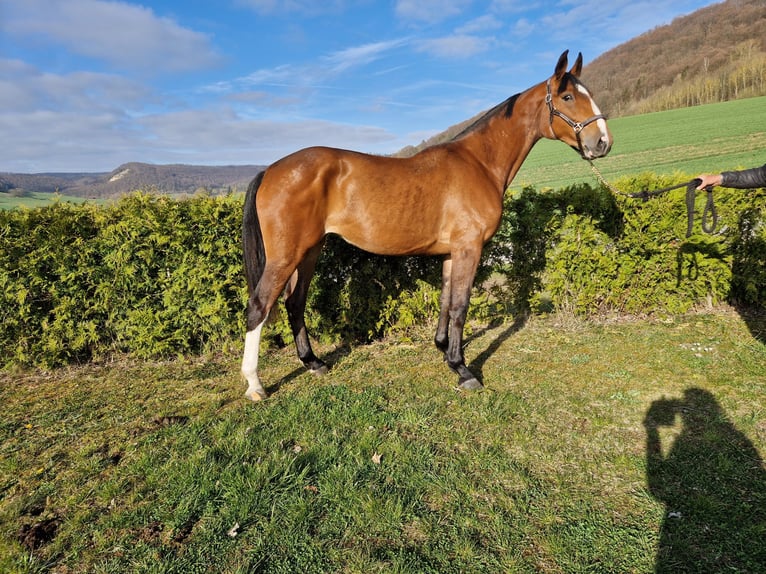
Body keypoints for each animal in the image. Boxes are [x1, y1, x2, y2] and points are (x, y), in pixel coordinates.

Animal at [241, 50, 612, 401]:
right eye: (567, 97)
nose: (602, 143)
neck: (479, 163)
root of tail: (271, 170)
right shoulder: (469, 248)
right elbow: (460, 305)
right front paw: (463, 370)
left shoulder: (451, 252)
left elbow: (446, 301)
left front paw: (444, 351)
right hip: (287, 255)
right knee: (259, 306)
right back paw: (255, 385)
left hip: (309, 251)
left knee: (294, 303)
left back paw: (313, 363)